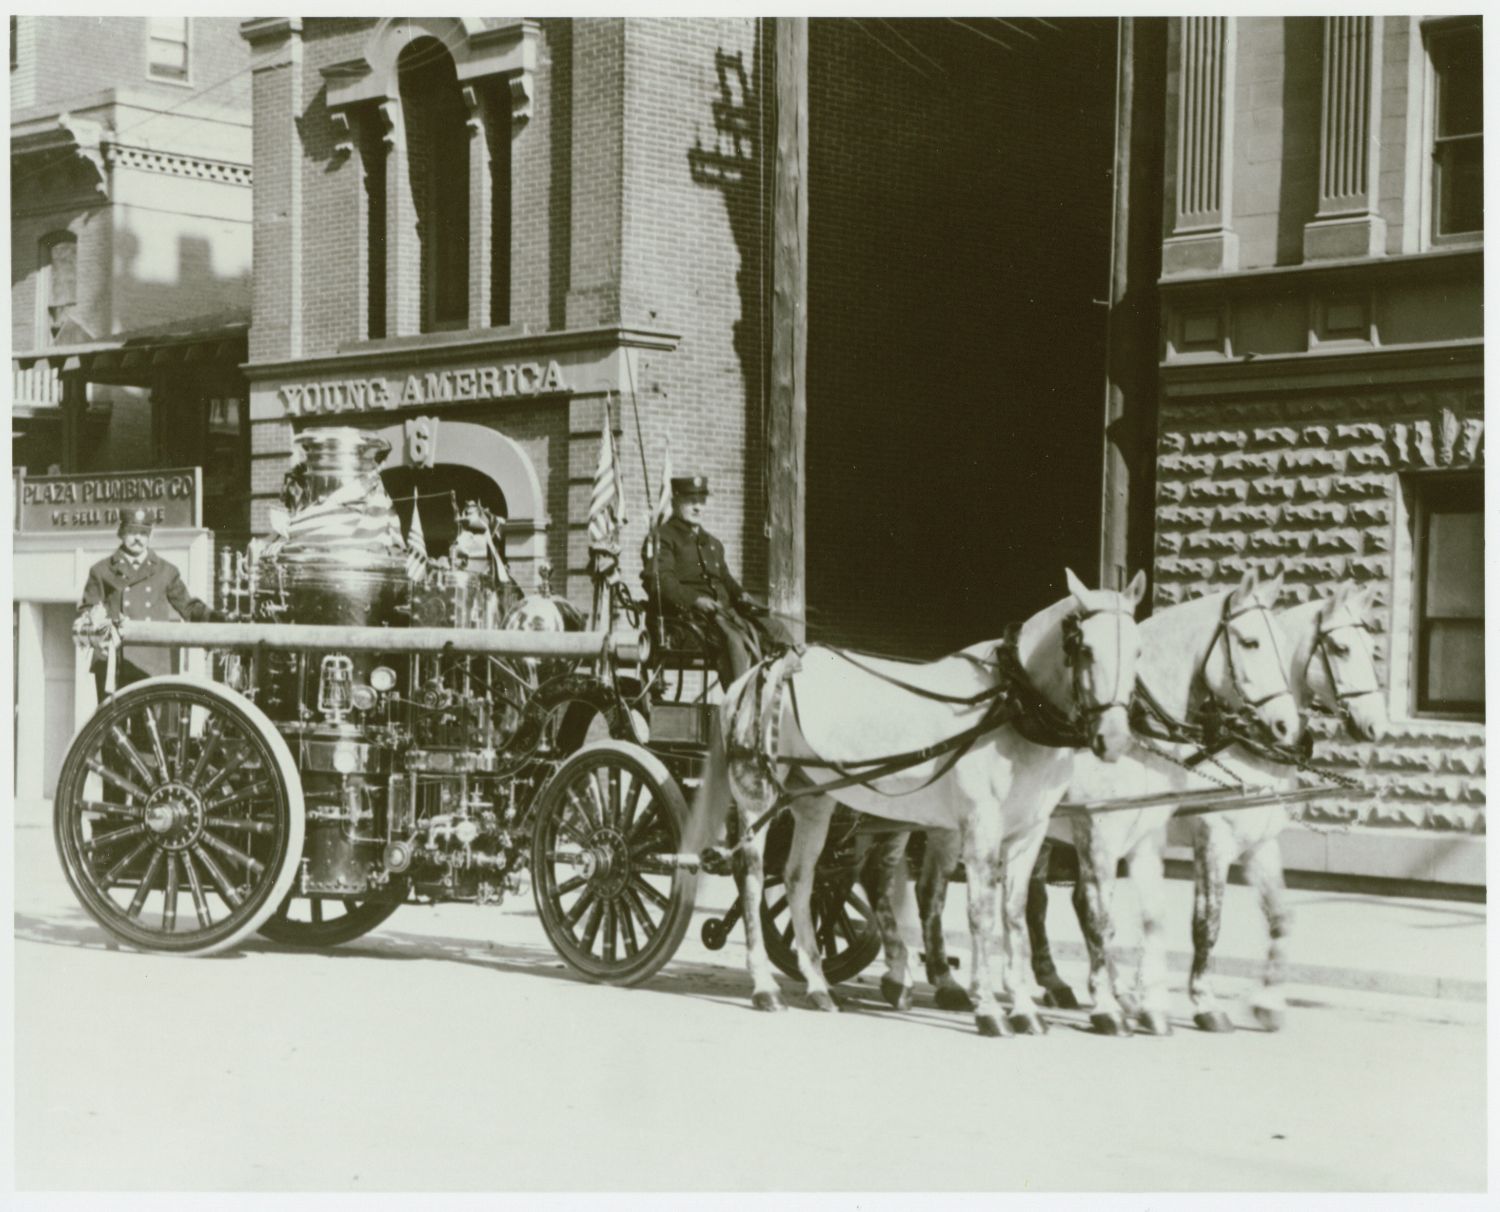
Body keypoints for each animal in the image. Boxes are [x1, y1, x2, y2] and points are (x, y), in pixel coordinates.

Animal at [690, 573, 1146, 1038]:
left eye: (1138, 651)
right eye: (1085, 648)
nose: (1114, 740)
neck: (1013, 706)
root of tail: (755, 674)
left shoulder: (1030, 831)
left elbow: (1015, 915)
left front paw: (1023, 1009)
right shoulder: (980, 826)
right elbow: (982, 914)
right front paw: (989, 1009)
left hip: (813, 800)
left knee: (799, 880)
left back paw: (819, 986)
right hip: (758, 792)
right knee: (751, 878)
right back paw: (765, 987)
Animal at [876, 567, 1302, 1032]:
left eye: (1285, 645)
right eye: (1251, 642)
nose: (1287, 726)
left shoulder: (1175, 834)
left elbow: (1157, 917)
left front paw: (1151, 1004)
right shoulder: (1117, 828)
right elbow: (1122, 917)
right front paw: (1128, 1005)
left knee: (937, 893)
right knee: (887, 886)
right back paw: (905, 977)